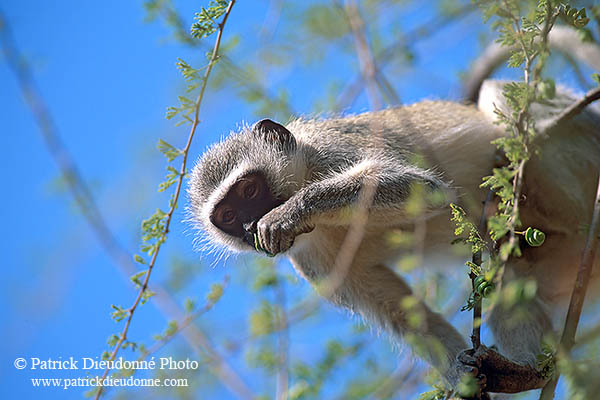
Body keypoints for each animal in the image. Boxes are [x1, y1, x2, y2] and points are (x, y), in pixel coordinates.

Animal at [188, 79, 600, 392]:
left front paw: (290, 211)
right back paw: (523, 372)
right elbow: (400, 312)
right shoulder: (311, 263)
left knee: (499, 96)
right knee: (508, 272)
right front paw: (462, 378)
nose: (247, 227)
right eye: (227, 215)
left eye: (250, 191)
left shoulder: (334, 151)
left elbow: (423, 188)